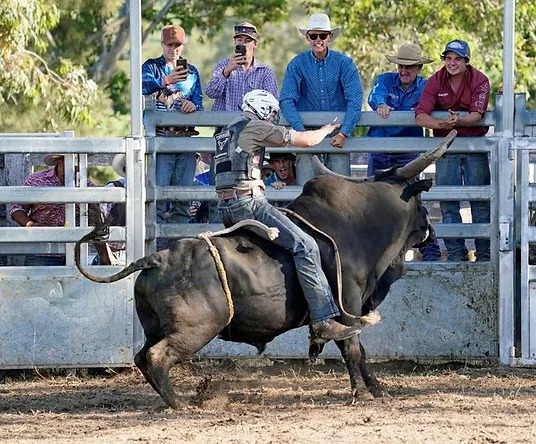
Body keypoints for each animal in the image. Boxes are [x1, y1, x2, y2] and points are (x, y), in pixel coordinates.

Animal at [75, 129, 456, 410]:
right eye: (421, 202)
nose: (431, 230)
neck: (356, 223)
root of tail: (158, 258)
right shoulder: (348, 304)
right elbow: (352, 347)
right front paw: (363, 393)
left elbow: (356, 349)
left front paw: (374, 389)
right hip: (195, 328)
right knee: (157, 357)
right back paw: (181, 403)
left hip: (156, 325)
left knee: (143, 356)